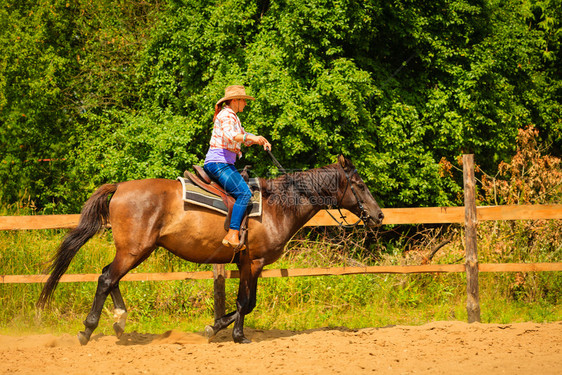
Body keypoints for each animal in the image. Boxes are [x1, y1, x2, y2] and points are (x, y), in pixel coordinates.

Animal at [38, 155, 380, 344]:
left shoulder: (245, 263)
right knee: (107, 279)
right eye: (360, 184)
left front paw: (213, 327)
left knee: (110, 278)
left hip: (134, 251)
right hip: (135, 250)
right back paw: (88, 331)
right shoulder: (254, 262)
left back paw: (119, 321)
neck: (277, 206)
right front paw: (238, 336)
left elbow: (248, 303)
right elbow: (246, 302)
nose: (378, 215)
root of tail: (120, 187)